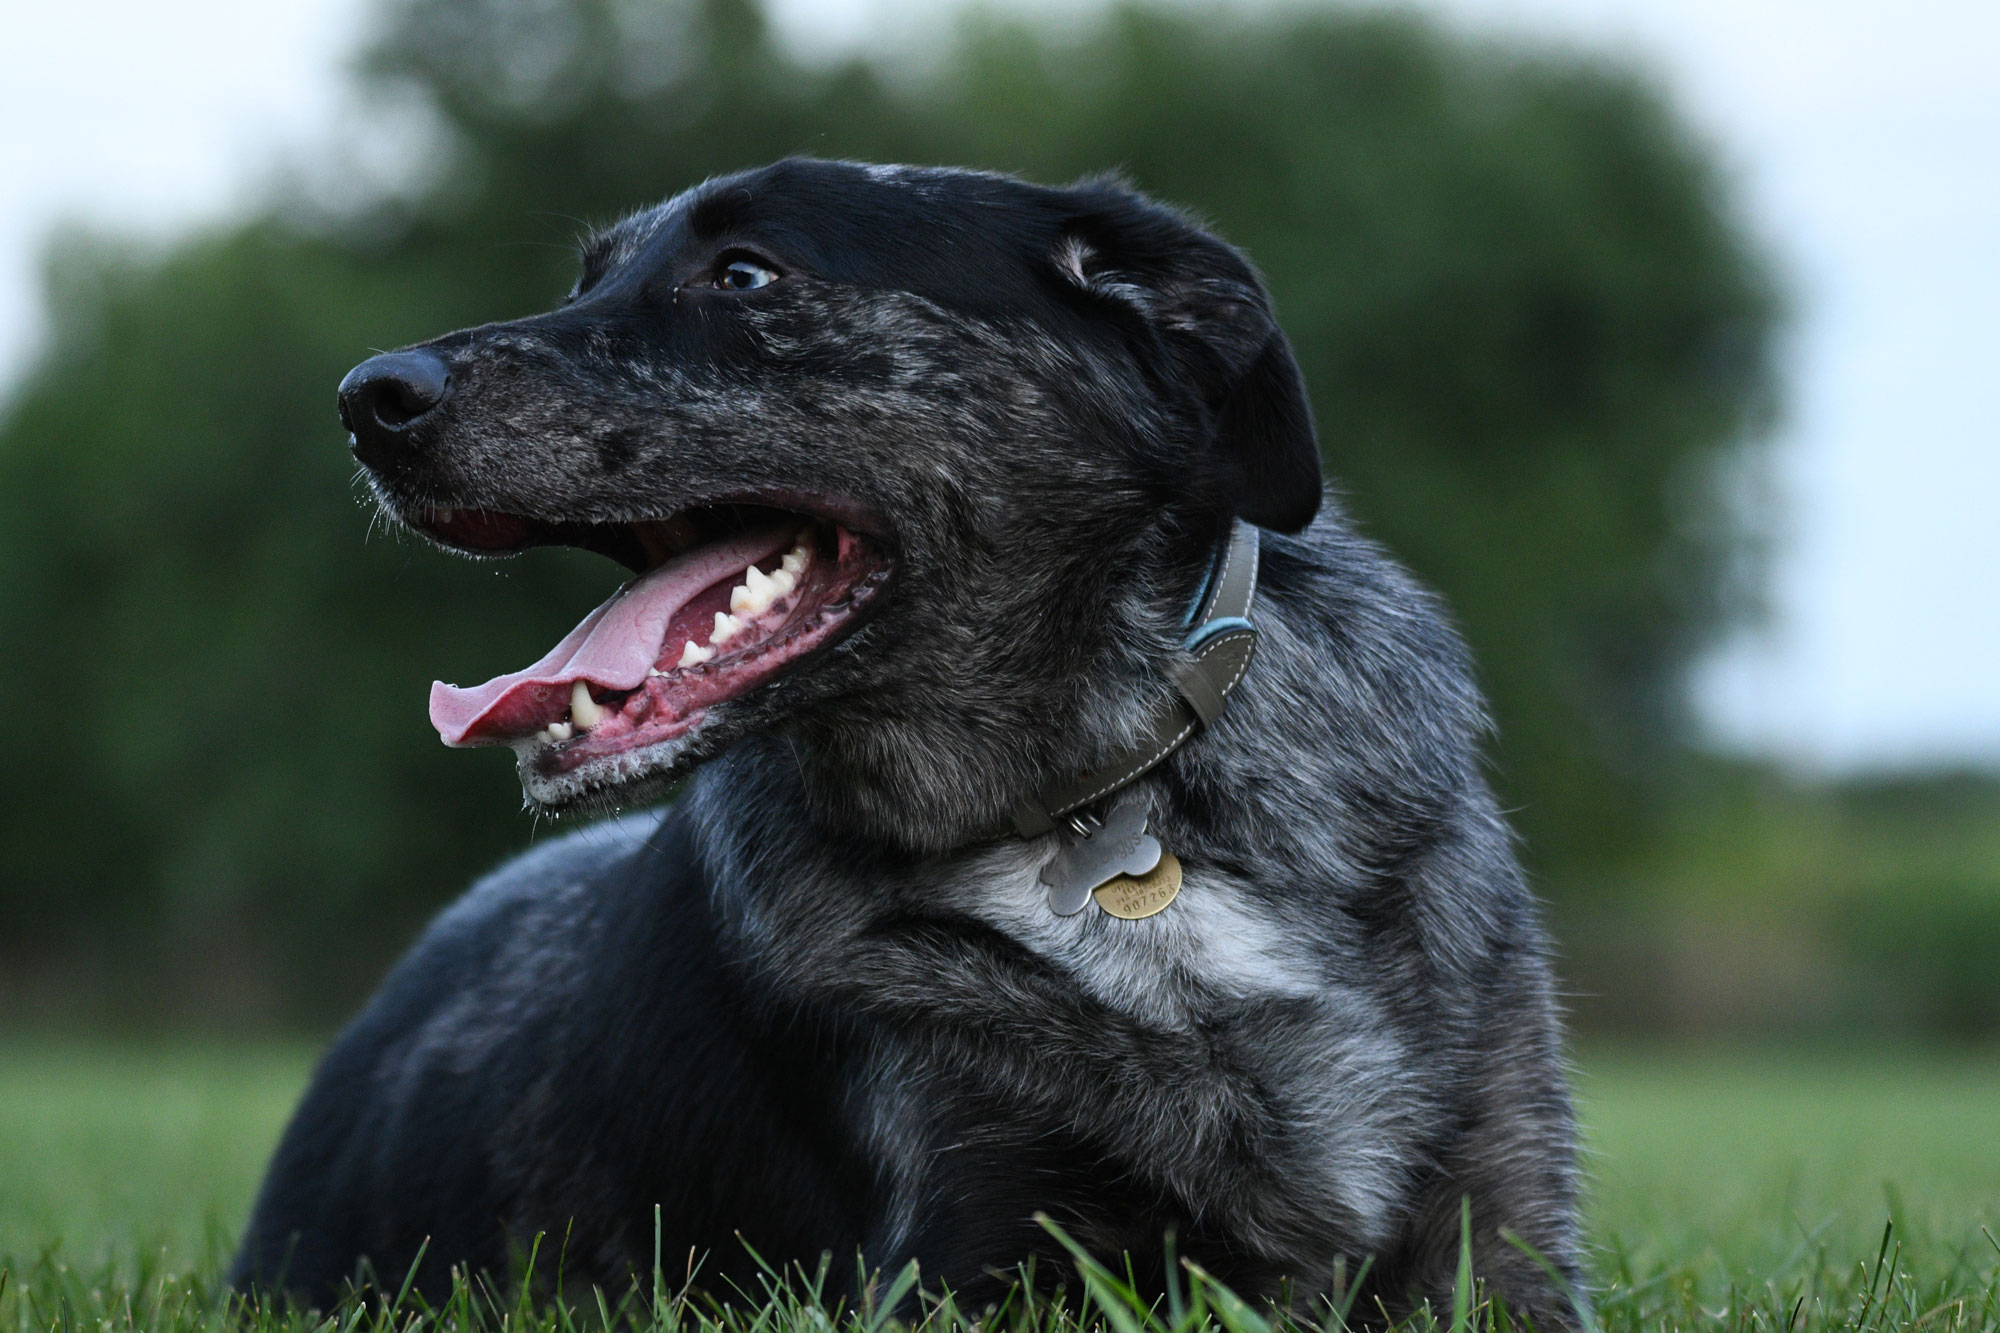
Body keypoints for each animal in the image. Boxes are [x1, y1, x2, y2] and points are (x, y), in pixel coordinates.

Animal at [230, 156, 1576, 1320]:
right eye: (585, 282)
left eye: (744, 274)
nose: (368, 398)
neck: (1099, 808)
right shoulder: (972, 1253)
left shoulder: (1499, 1230)